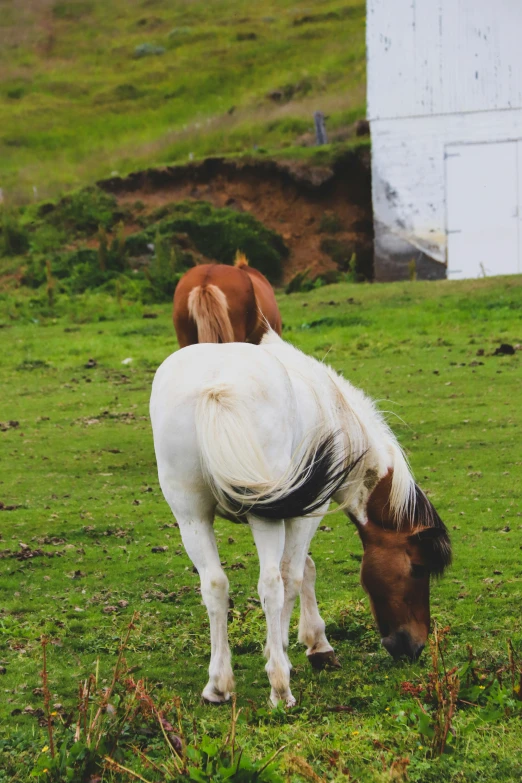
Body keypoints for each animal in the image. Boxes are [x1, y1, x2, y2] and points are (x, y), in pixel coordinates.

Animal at [148, 334, 448, 708]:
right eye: (418, 568)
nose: (415, 646)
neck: (336, 411)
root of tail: (216, 386)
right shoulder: (309, 511)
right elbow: (297, 573)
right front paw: (297, 649)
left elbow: (304, 567)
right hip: (262, 516)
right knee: (272, 584)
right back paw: (280, 688)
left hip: (190, 514)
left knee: (214, 585)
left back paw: (218, 686)